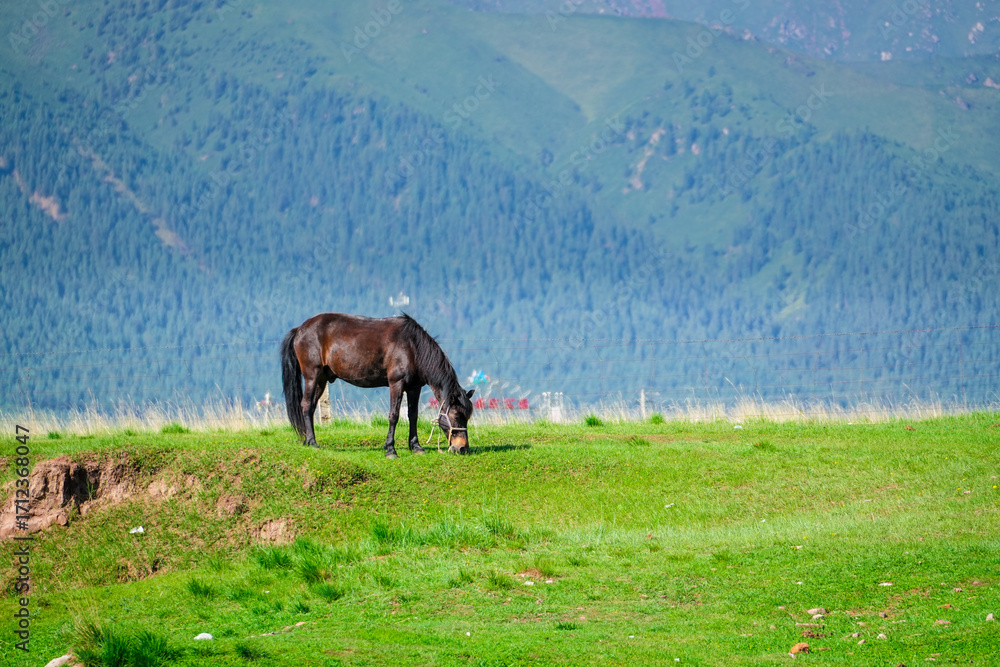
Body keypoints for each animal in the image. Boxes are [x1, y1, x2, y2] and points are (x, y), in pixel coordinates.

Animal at [281, 313, 474, 458]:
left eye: (467, 416)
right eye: (456, 415)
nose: (462, 448)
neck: (412, 347)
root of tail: (300, 330)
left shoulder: (414, 387)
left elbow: (413, 416)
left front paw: (416, 447)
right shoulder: (396, 384)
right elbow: (394, 415)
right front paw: (390, 449)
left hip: (321, 380)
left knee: (311, 407)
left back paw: (308, 440)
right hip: (312, 376)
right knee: (306, 405)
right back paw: (312, 442)